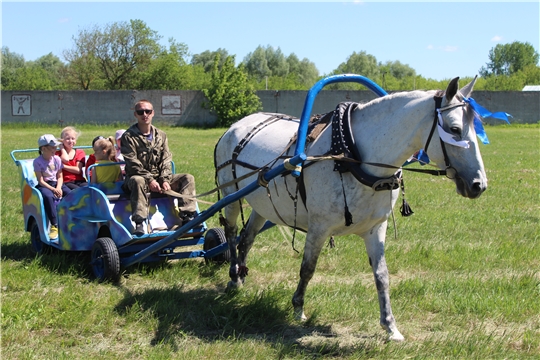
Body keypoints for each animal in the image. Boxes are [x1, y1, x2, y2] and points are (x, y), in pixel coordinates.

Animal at [214, 76, 486, 340]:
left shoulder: (376, 228)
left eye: (476, 128)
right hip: (231, 196)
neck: (349, 156)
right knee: (231, 233)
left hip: (261, 204)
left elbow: (382, 275)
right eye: (454, 129)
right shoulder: (319, 227)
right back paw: (233, 277)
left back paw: (241, 274)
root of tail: (234, 126)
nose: (479, 184)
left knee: (247, 238)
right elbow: (308, 268)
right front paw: (298, 308)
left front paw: (390, 326)